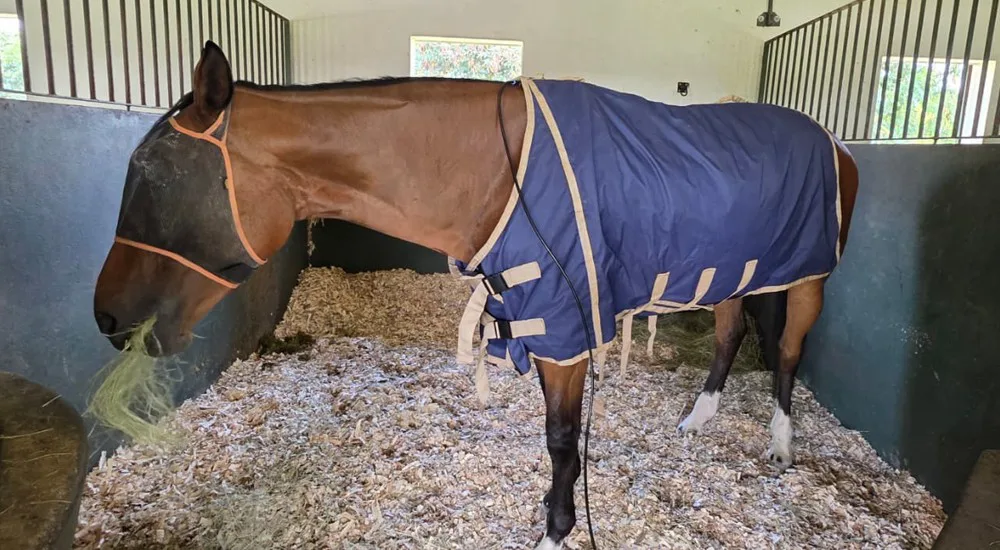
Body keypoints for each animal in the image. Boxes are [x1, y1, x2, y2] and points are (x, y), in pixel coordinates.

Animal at [93, 41, 859, 549]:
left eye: (153, 179)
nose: (107, 316)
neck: (499, 167)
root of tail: (836, 144)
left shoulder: (564, 327)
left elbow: (561, 441)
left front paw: (556, 531)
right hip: (738, 276)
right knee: (731, 335)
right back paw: (698, 421)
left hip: (809, 278)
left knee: (789, 352)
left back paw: (782, 445)